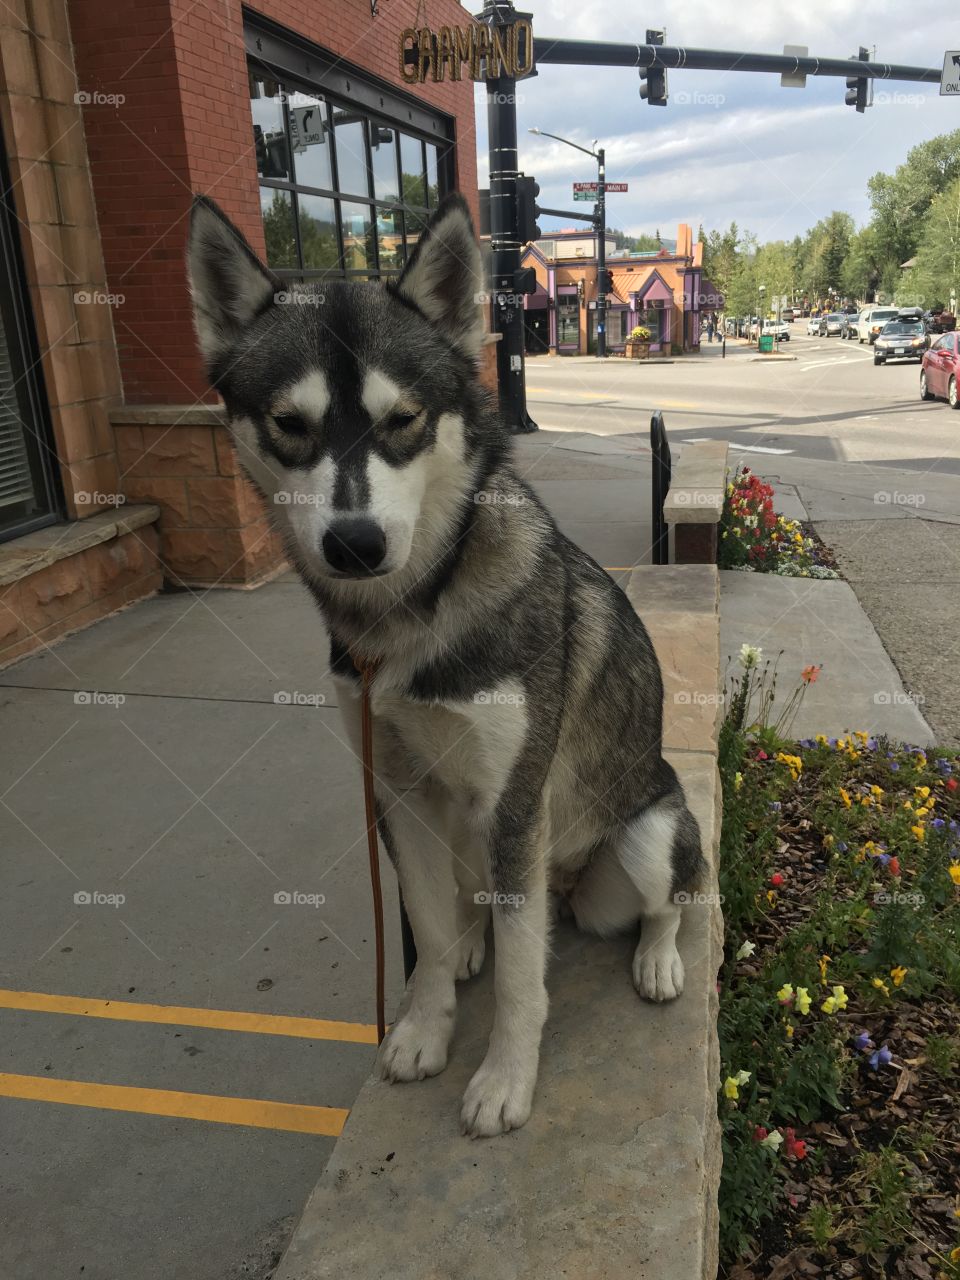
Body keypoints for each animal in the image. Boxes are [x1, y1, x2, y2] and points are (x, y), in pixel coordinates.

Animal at [188, 192, 706, 1141]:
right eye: (289, 425)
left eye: (403, 420)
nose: (355, 545)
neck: (413, 614)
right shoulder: (394, 787)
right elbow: (425, 933)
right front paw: (428, 1027)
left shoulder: (515, 804)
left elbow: (523, 978)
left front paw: (505, 1078)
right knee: (476, 913)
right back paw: (471, 940)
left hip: (642, 837)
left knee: (669, 900)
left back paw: (655, 960)